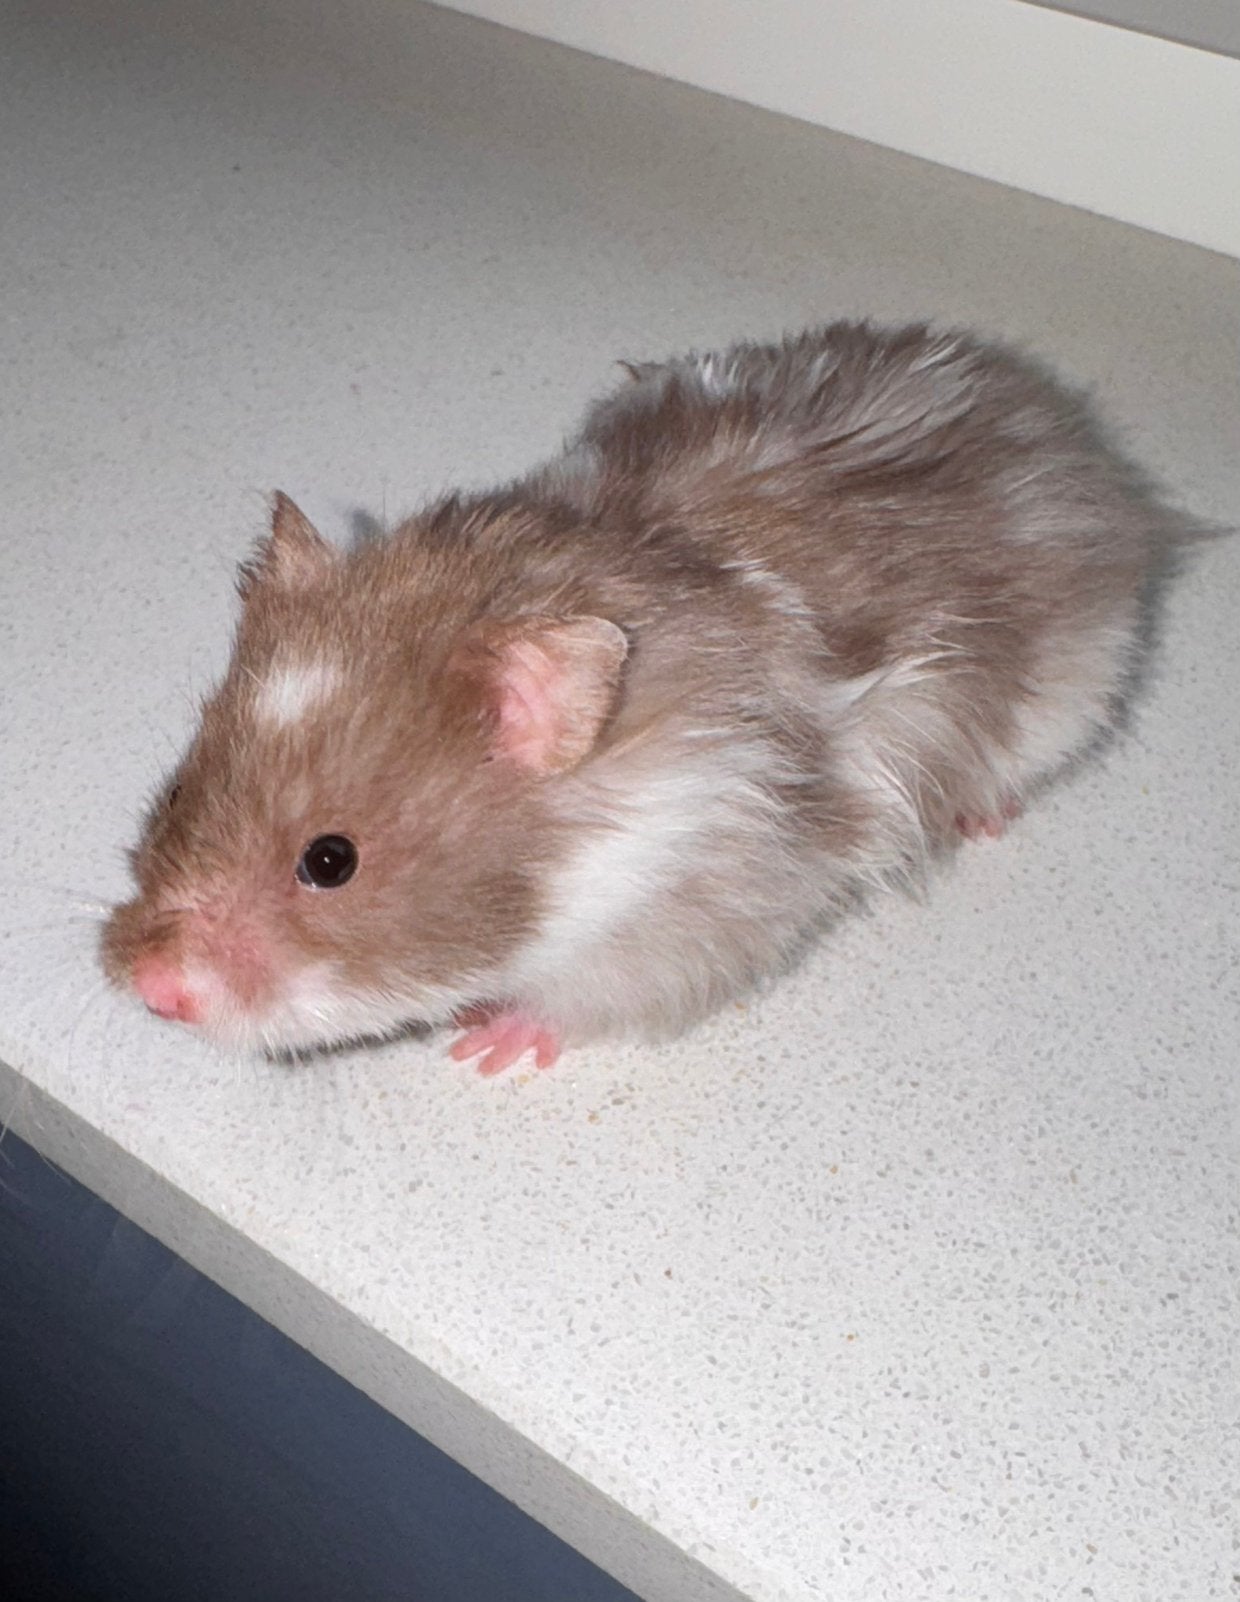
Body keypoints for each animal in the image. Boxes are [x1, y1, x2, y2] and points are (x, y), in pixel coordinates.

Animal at [102, 321, 1170, 1075]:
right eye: (177, 787)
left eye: (331, 861)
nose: (151, 993)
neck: (588, 852)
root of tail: (1043, 406)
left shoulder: (694, 912)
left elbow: (583, 1001)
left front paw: (485, 1046)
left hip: (1074, 687)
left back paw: (981, 813)